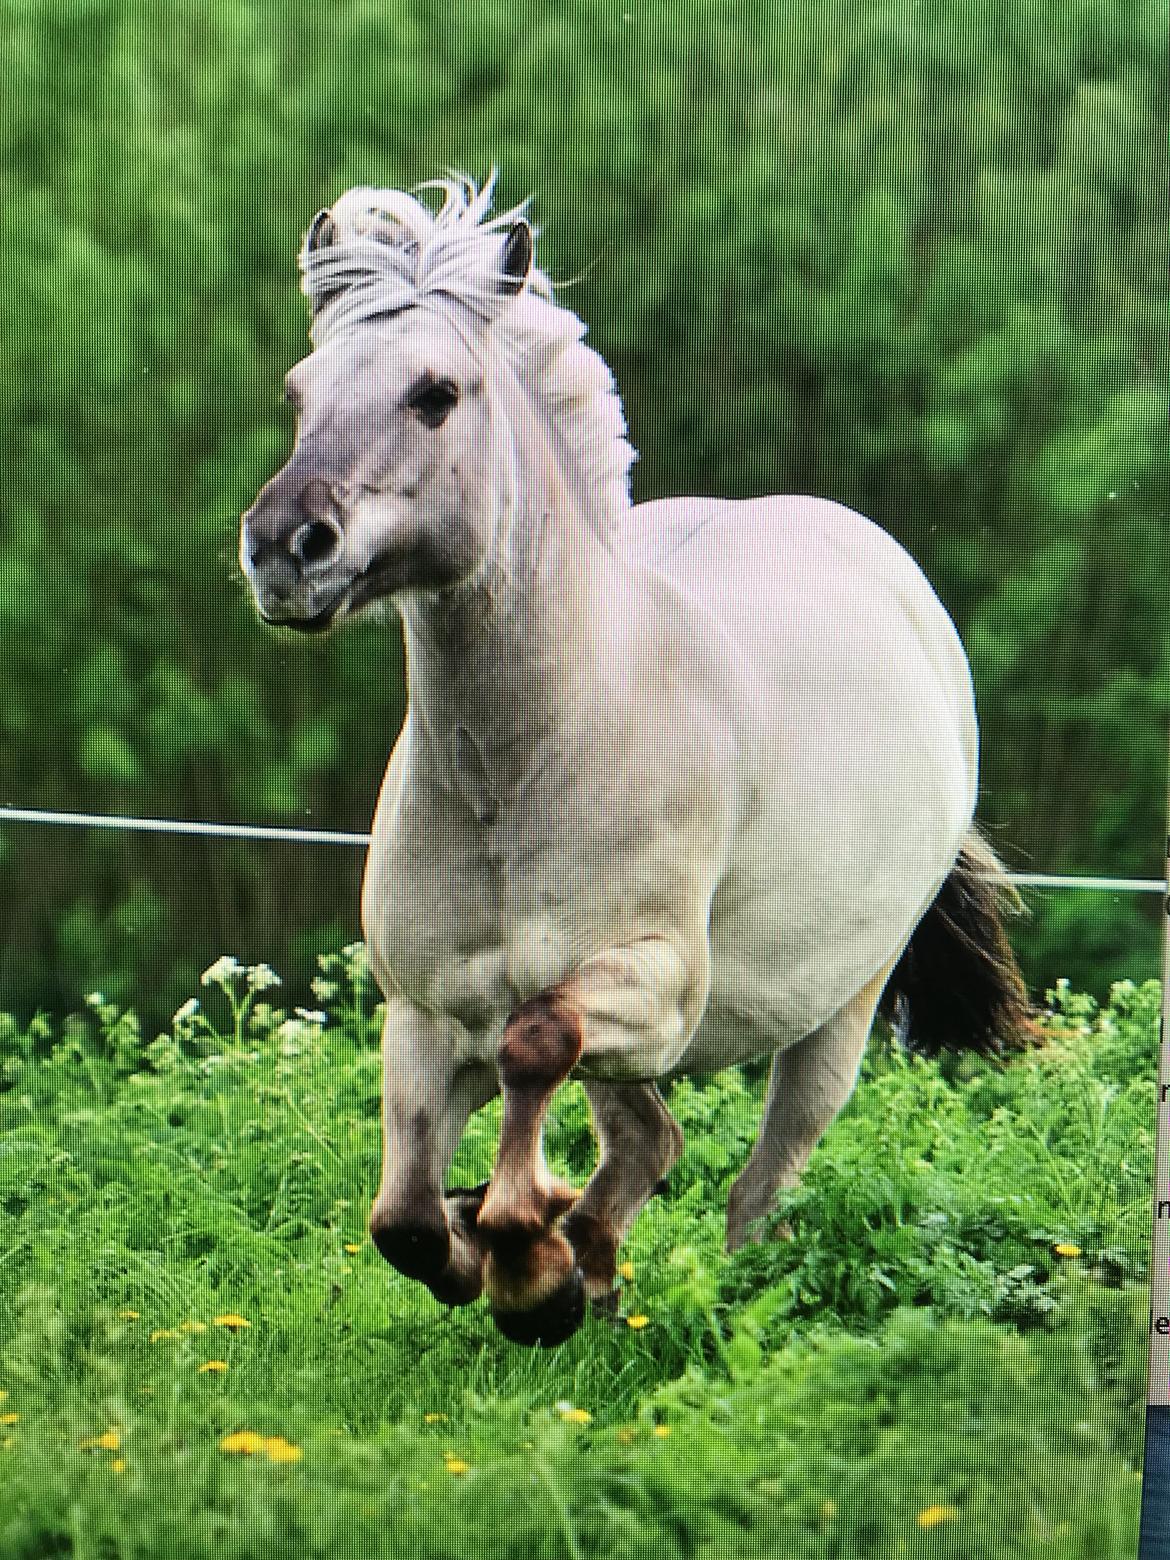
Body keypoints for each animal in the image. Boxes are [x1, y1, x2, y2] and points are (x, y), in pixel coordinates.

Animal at [238, 167, 1023, 1341]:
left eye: (436, 393)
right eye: (301, 395)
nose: (285, 548)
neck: (523, 769)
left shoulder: (655, 988)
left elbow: (532, 1044)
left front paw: (527, 1267)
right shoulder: (424, 1018)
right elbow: (403, 1221)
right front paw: (502, 1247)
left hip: (839, 1011)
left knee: (761, 1185)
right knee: (651, 1141)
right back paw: (593, 1270)